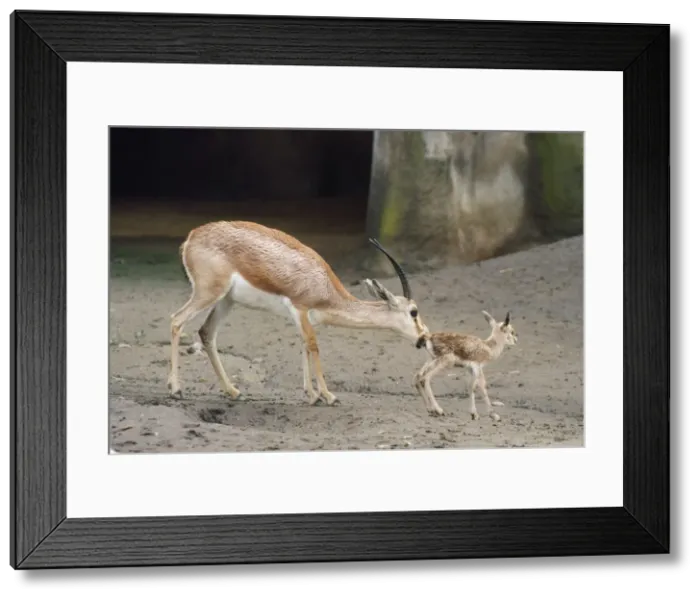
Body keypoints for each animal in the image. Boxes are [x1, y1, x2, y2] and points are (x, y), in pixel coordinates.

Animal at [167, 221, 429, 405]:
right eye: (414, 312)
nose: (423, 338)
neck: (325, 286)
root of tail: (192, 237)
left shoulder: (301, 317)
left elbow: (303, 344)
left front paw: (312, 396)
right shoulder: (300, 308)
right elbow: (313, 344)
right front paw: (328, 395)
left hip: (226, 300)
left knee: (206, 333)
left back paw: (233, 391)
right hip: (208, 294)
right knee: (177, 320)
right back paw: (176, 390)